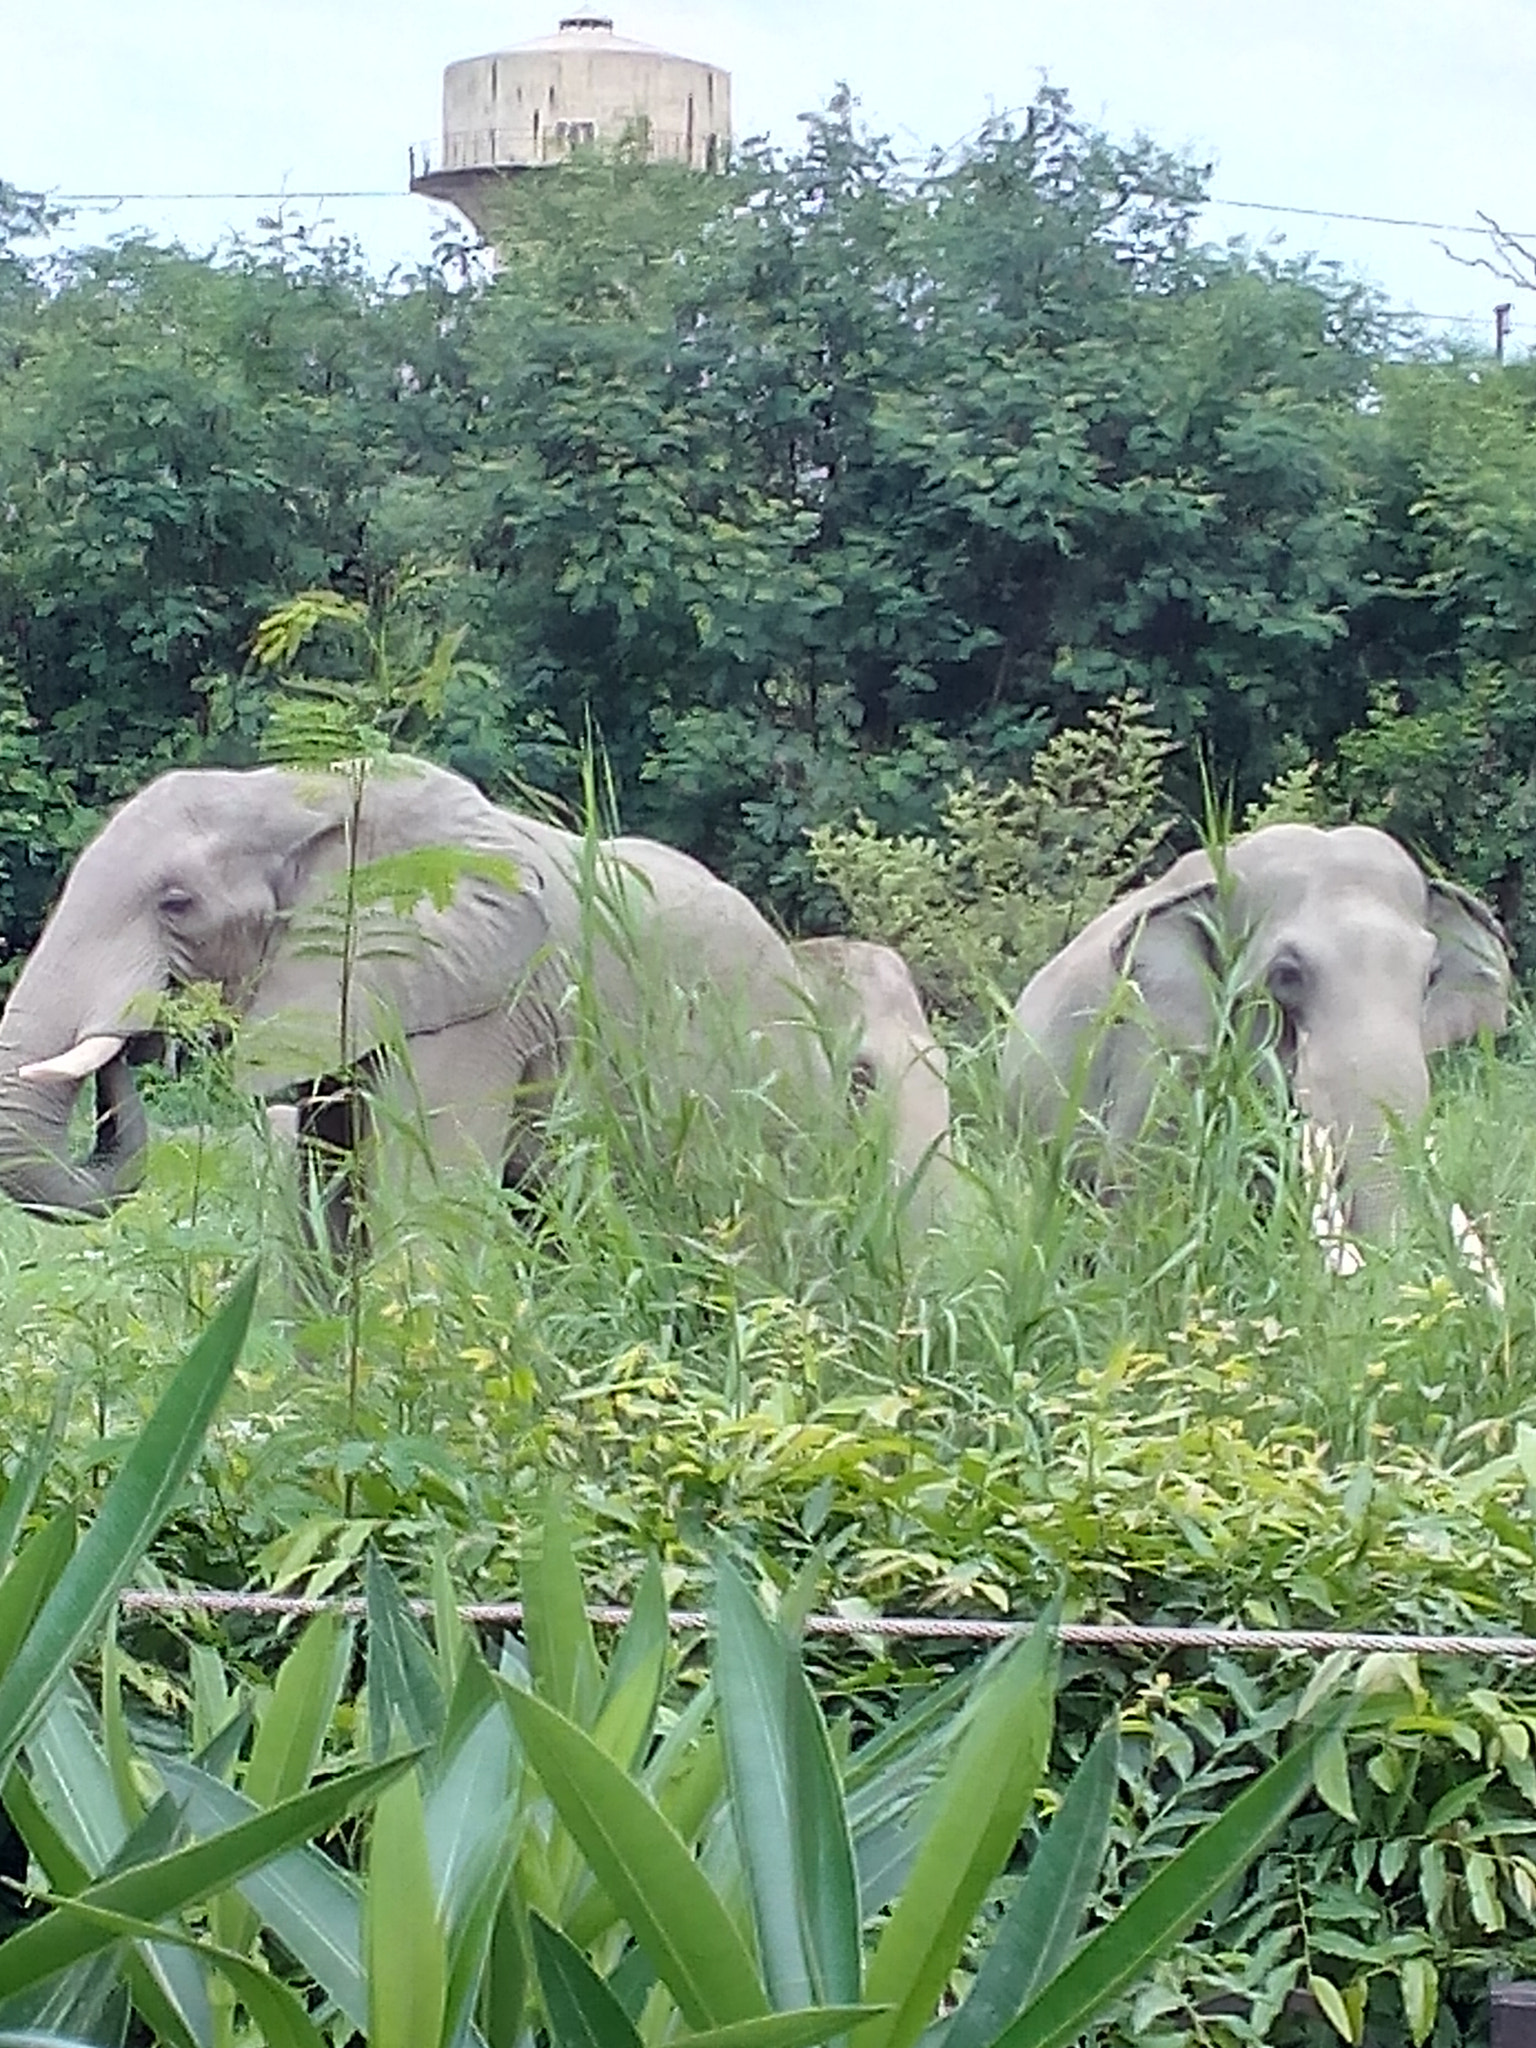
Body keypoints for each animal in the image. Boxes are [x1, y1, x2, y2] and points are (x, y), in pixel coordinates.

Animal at [0, 756, 832, 1226]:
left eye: (176, 904)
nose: (134, 1044)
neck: (300, 794)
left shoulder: (477, 1009)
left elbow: (430, 1204)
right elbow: (327, 1215)